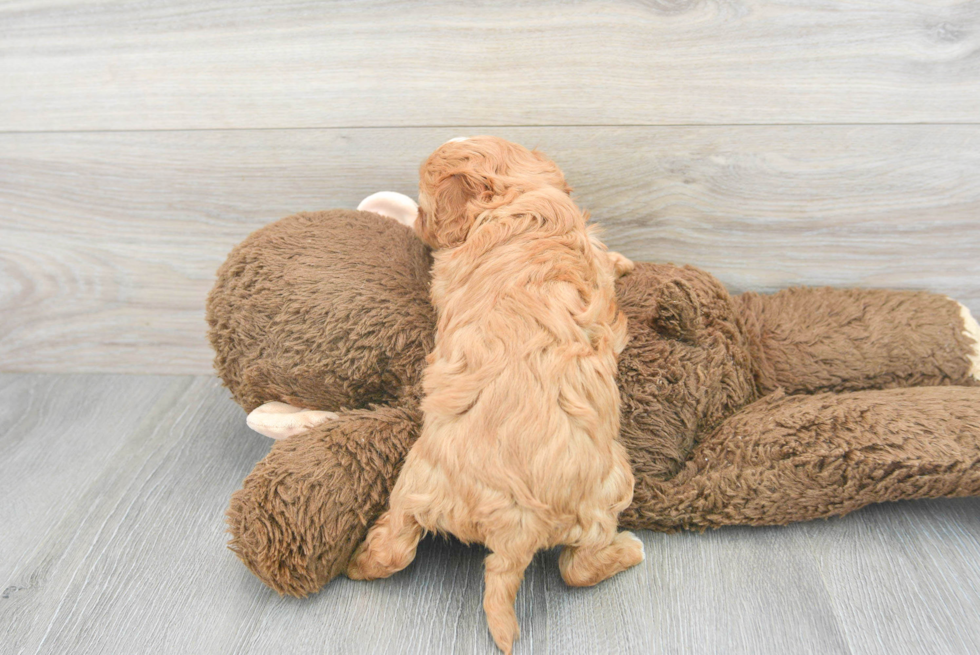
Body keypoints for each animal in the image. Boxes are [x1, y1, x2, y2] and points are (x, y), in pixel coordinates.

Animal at [346, 136, 644, 652]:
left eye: (423, 207)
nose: (419, 226)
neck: (513, 198)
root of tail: (514, 529)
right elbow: (608, 259)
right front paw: (627, 263)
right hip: (606, 493)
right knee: (578, 567)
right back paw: (631, 550)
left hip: (416, 484)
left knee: (395, 549)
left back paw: (355, 564)